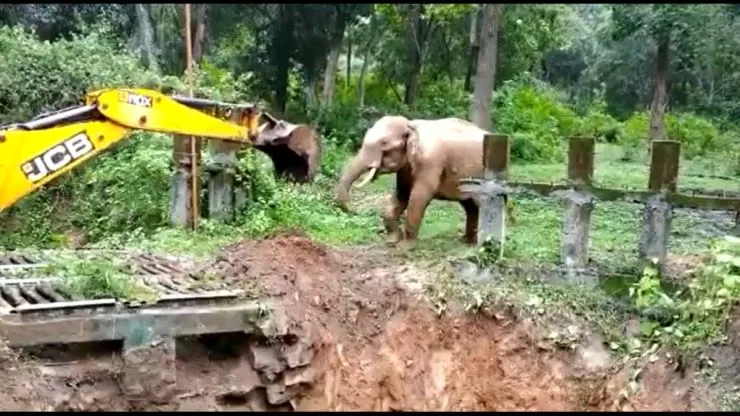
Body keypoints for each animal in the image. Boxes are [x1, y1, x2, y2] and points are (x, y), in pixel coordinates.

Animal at [336, 114, 492, 245]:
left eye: (385, 144)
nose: (354, 210)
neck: (411, 125)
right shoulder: (405, 169)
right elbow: (401, 194)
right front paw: (392, 241)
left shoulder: (431, 162)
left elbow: (419, 197)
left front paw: (405, 246)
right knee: (471, 206)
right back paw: (467, 242)